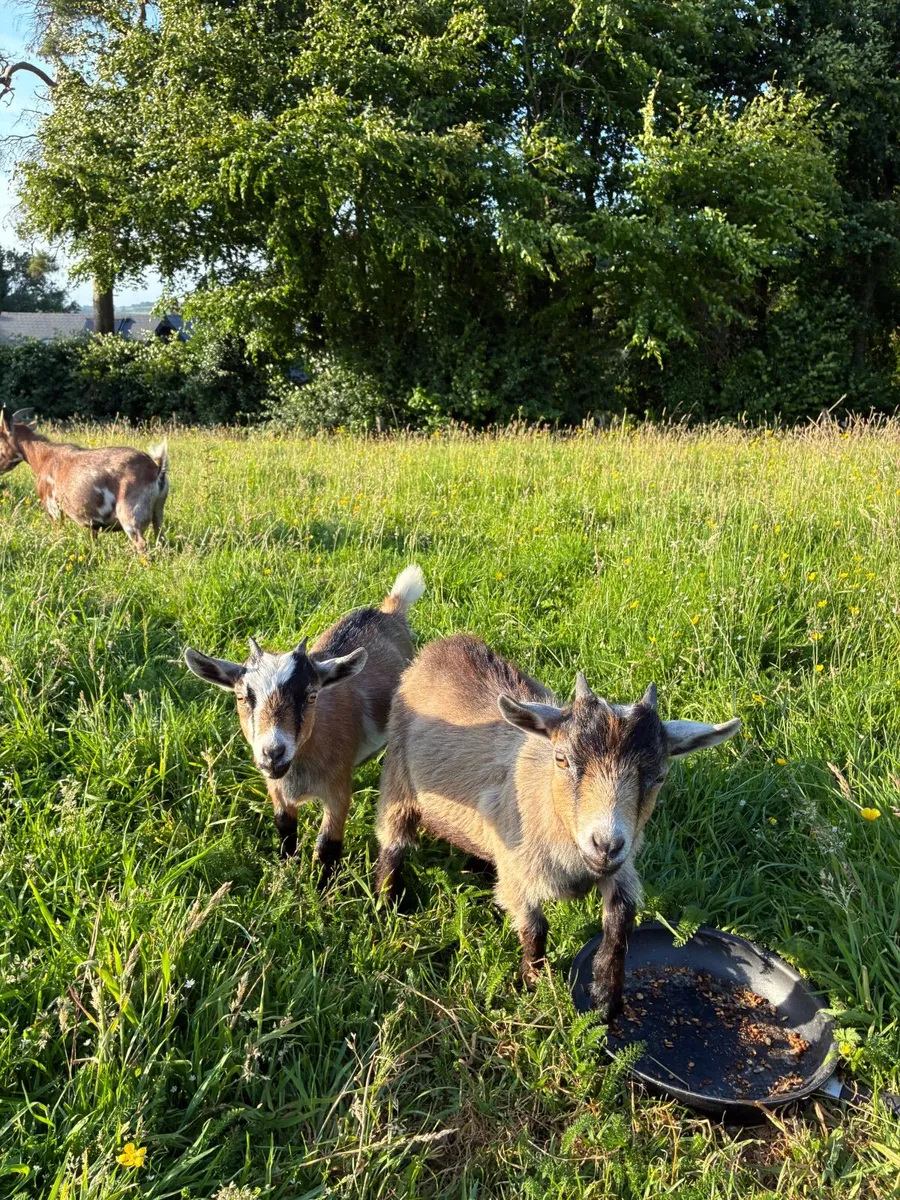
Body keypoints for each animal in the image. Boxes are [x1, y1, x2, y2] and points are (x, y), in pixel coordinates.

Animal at [0, 407, 168, 551]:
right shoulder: (92, 523)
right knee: (161, 538)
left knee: (142, 543)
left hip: (130, 515)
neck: (43, 458)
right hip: (158, 510)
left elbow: (58, 532)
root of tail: (156, 470)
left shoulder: (53, 507)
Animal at [184, 565, 426, 878]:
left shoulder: (338, 789)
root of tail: (389, 611)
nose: (273, 753)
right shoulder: (276, 789)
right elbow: (285, 828)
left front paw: (325, 887)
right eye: (241, 697)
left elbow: (327, 844)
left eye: (311, 696)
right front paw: (287, 871)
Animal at [375, 634, 739, 1017]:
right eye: (562, 759)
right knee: (393, 843)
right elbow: (535, 930)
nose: (605, 844)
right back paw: (387, 904)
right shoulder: (519, 878)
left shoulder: (620, 868)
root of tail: (444, 645)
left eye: (660, 776)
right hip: (398, 781)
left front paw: (606, 996)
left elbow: (621, 919)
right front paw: (535, 984)